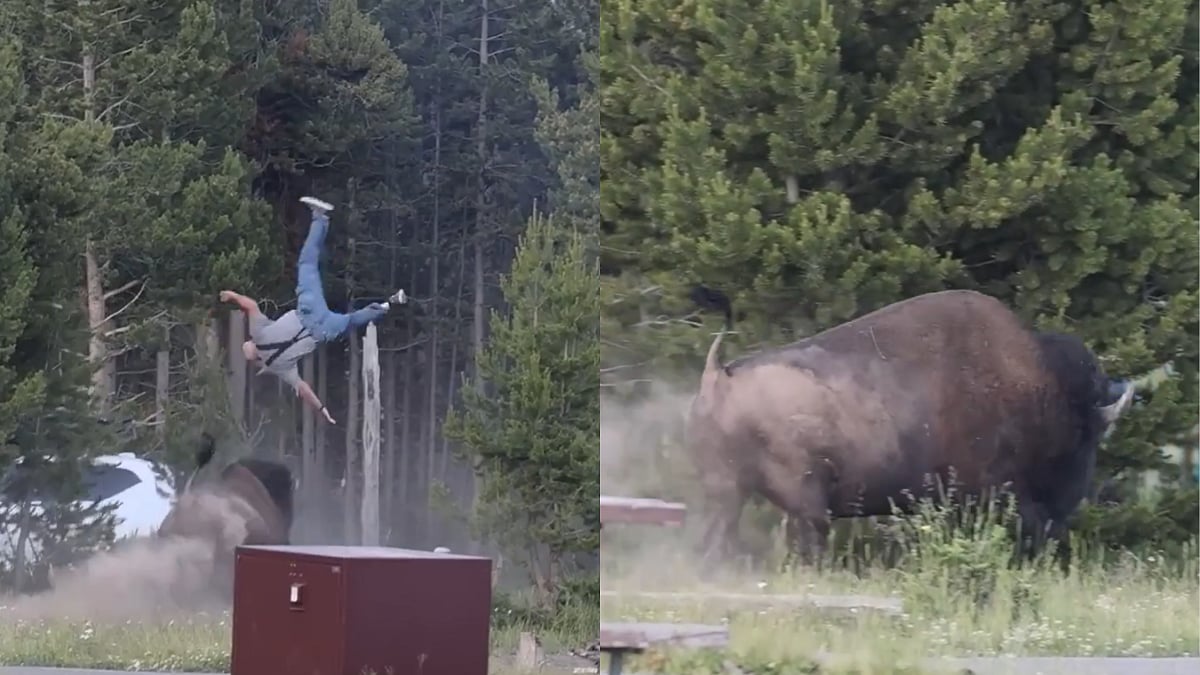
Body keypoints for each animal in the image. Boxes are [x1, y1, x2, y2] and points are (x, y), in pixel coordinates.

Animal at [686, 287, 1134, 567]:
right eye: (1085, 437)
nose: (1072, 503)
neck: (1040, 389)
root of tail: (721, 374)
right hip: (803, 503)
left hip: (729, 492)